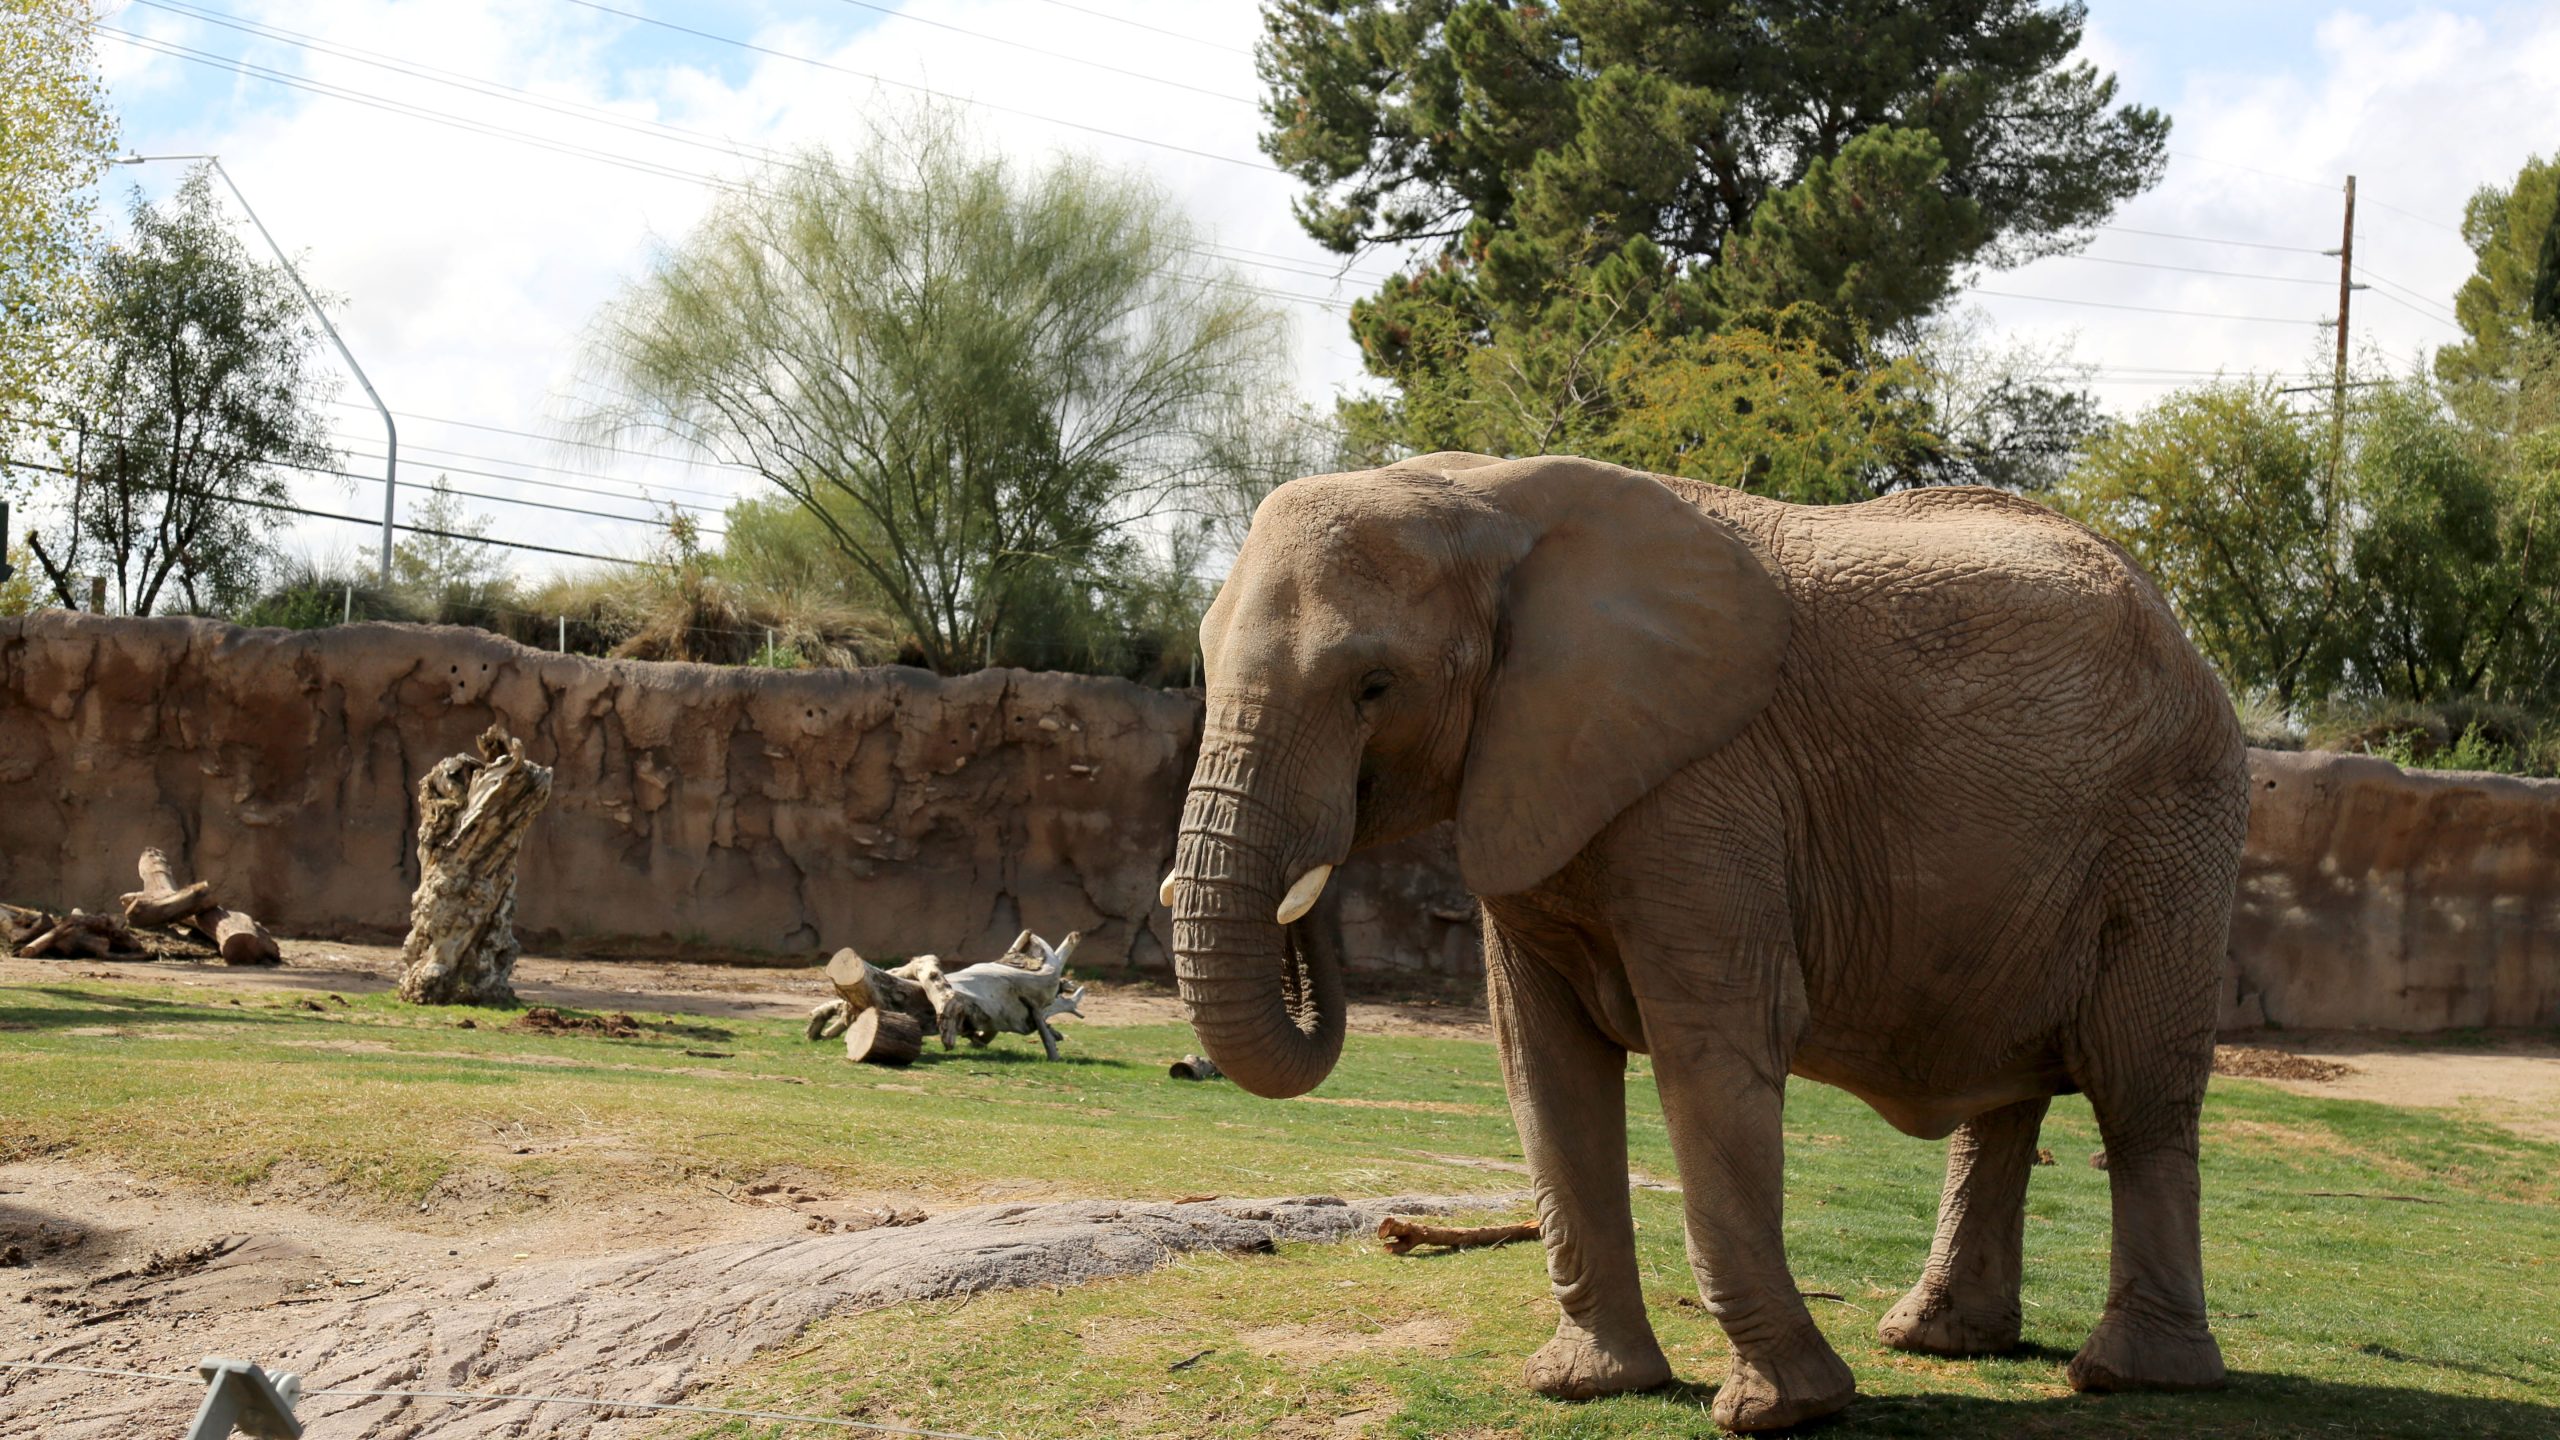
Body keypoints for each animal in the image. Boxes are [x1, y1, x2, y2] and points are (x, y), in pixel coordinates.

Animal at [1163, 452, 2247, 1431]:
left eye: (1374, 686)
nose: (1314, 887)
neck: (1477, 495)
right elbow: (1542, 1064)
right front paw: (1584, 1387)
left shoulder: (1708, 786)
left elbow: (1711, 1047)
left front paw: (1780, 1412)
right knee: (2005, 1100)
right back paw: (1937, 1340)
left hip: (2171, 833)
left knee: (2140, 1088)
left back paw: (2128, 1375)